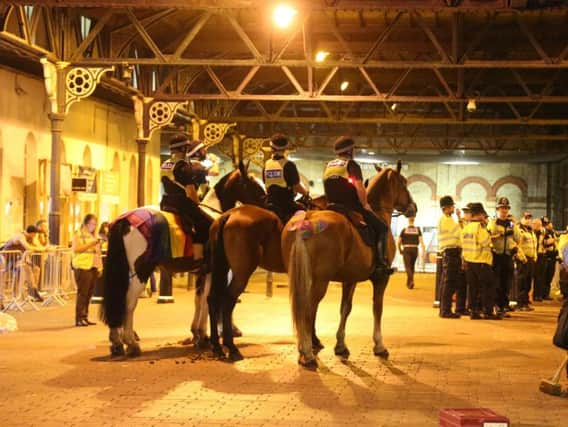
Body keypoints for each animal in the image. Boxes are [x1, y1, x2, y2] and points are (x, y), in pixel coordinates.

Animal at [100, 164, 266, 358]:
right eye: (253, 184)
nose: (266, 204)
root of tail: (125, 221)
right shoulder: (212, 272)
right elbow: (207, 300)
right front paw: (203, 336)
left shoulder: (202, 272)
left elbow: (199, 300)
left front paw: (197, 334)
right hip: (141, 272)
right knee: (128, 303)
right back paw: (131, 343)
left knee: (117, 300)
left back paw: (117, 342)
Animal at [282, 162, 414, 370]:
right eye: (404, 183)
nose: (413, 207)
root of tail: (308, 218)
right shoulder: (381, 279)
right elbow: (377, 309)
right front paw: (379, 345)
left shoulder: (350, 279)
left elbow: (345, 308)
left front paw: (341, 345)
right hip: (319, 281)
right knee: (308, 310)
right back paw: (307, 353)